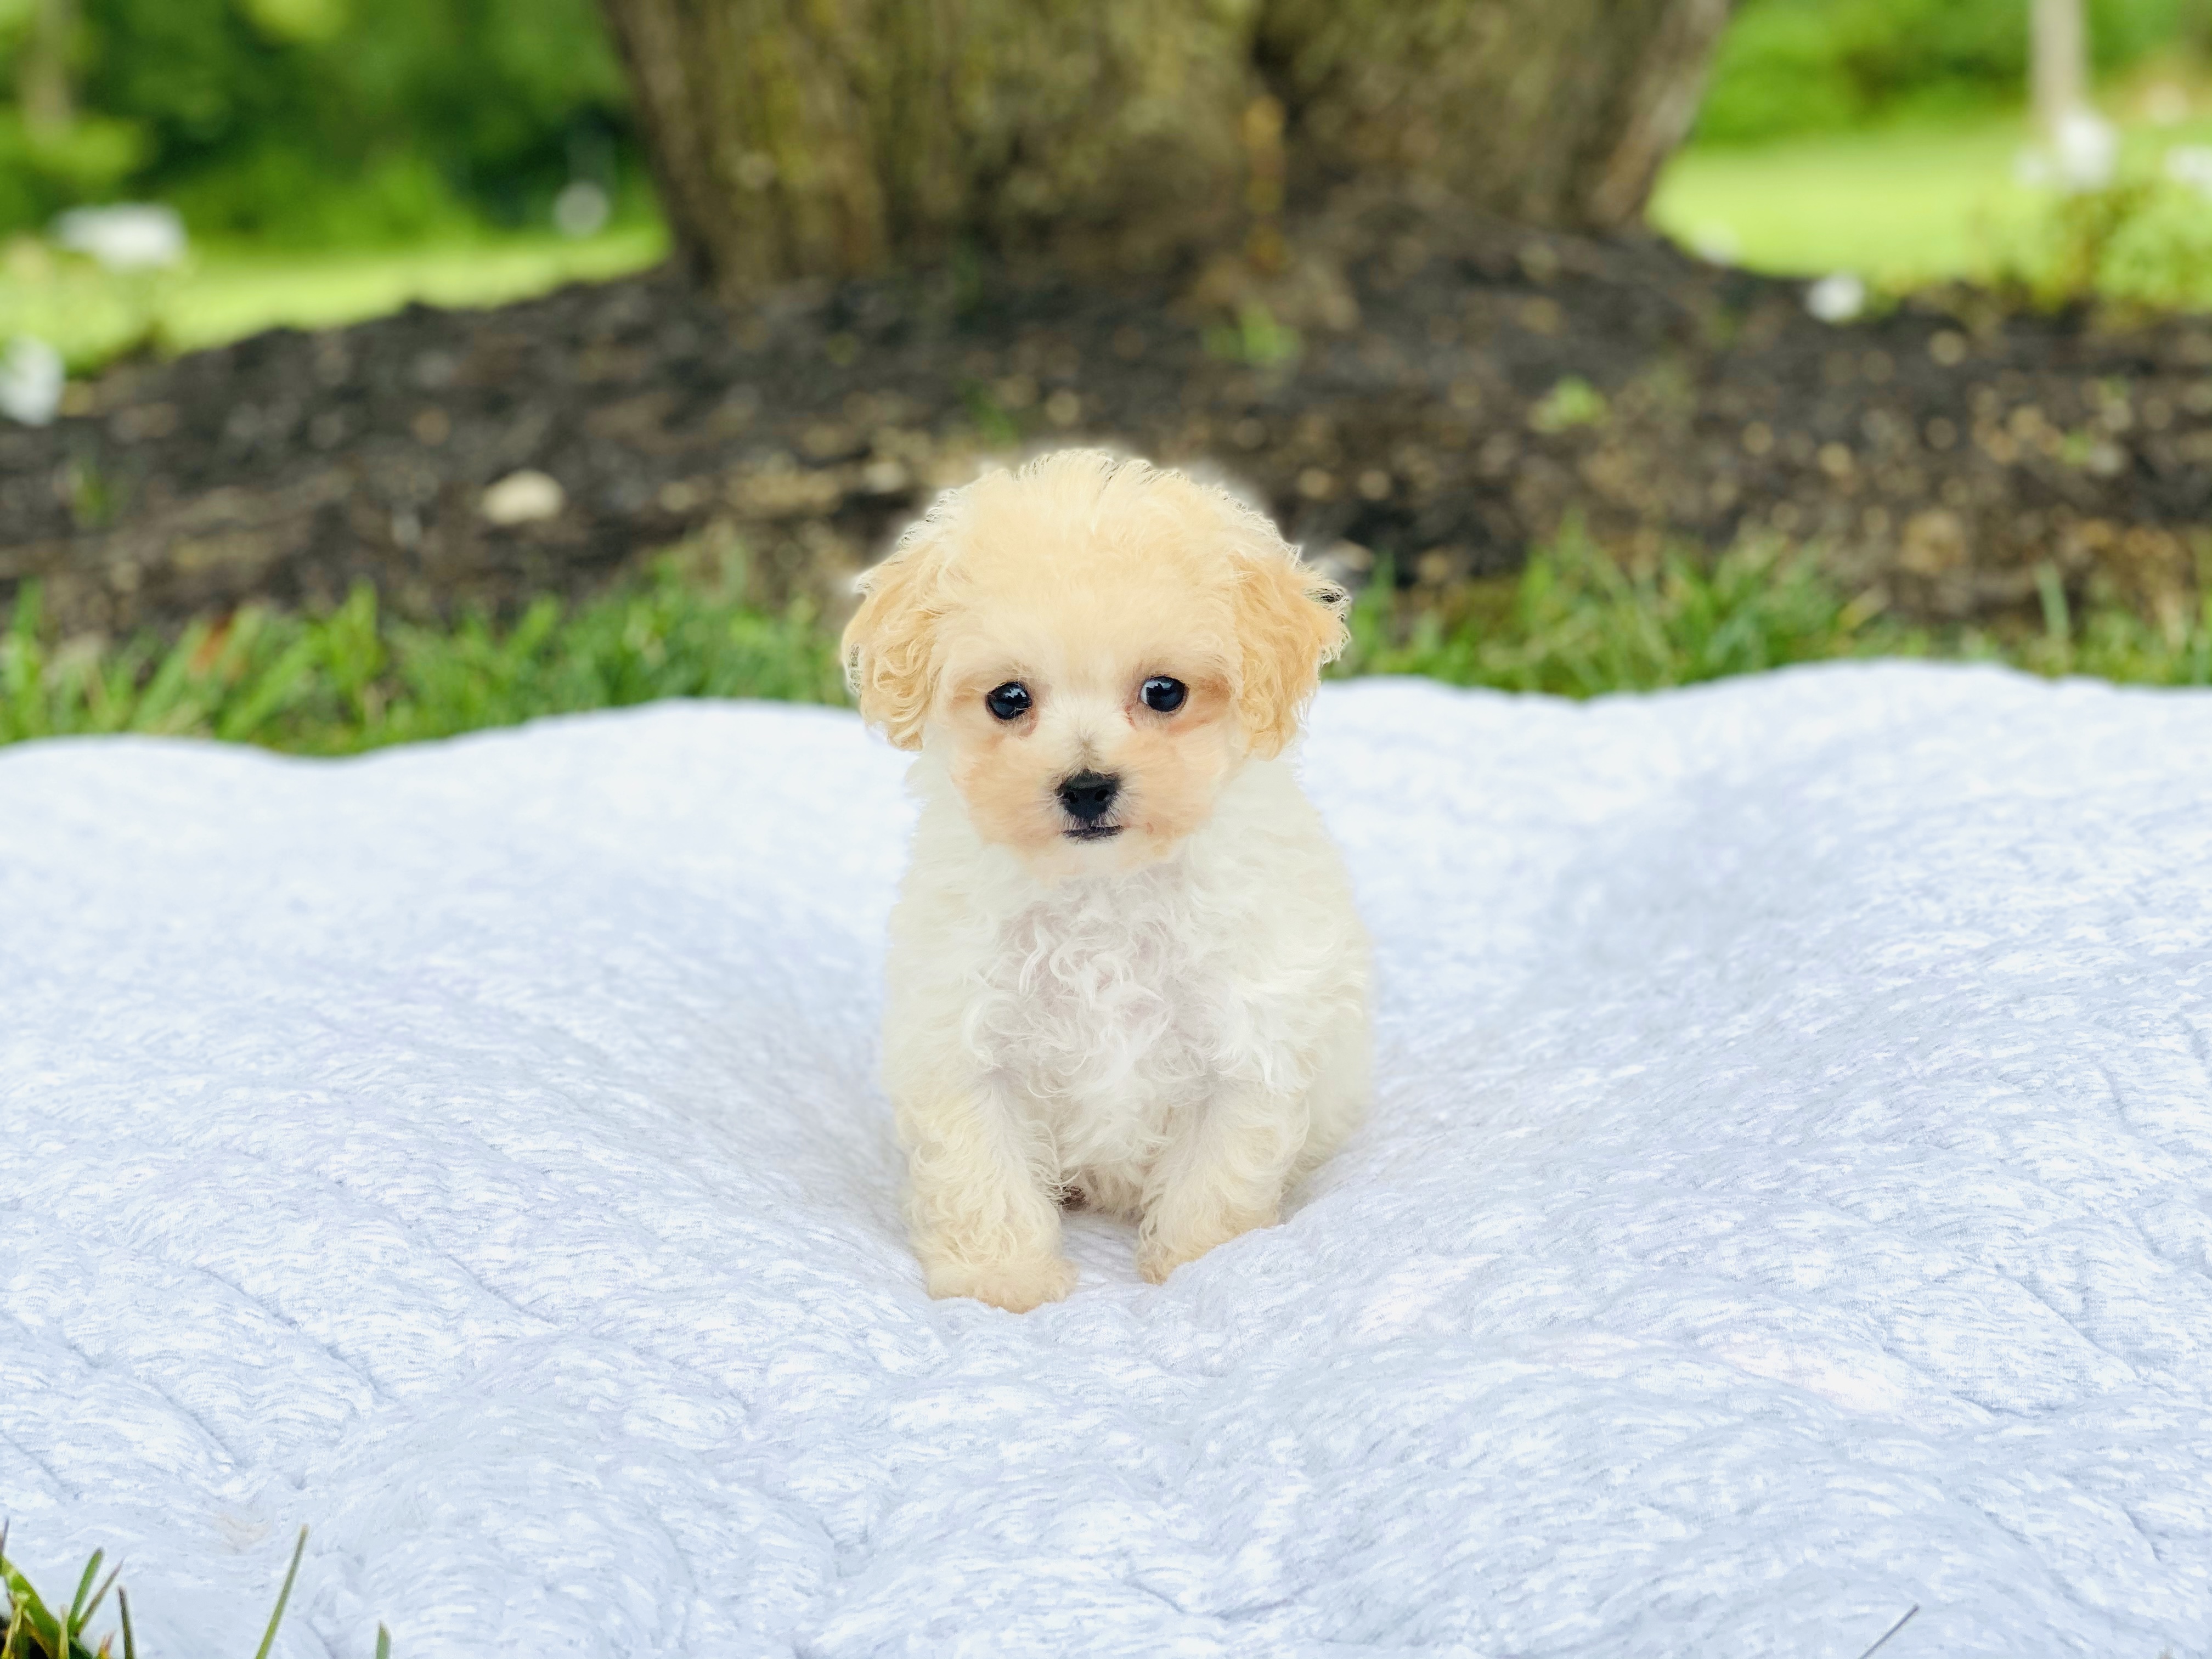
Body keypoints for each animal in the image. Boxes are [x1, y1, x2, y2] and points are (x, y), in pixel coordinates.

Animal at [840, 449, 1362, 1318]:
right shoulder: (966, 1045)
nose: (1087, 787)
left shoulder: (1246, 1043)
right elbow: (982, 1177)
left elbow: (1216, 1179)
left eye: (1164, 692)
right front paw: (1003, 1285)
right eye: (1009, 699)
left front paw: (1203, 1268)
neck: (1101, 892)